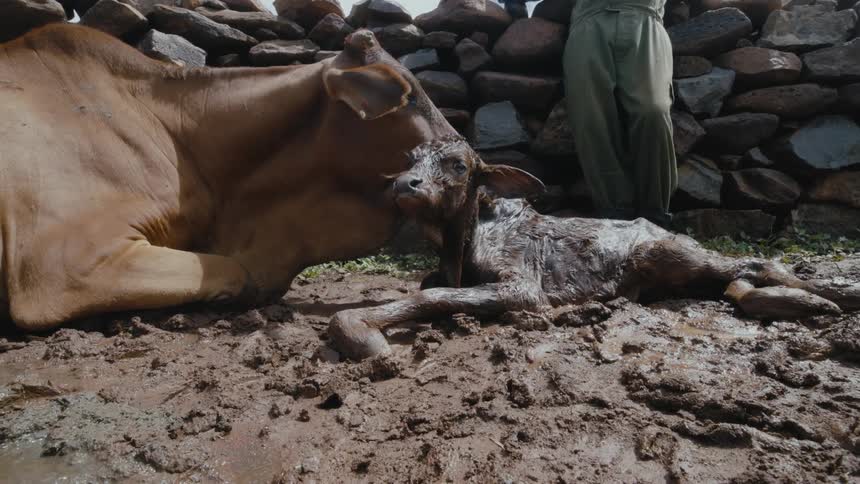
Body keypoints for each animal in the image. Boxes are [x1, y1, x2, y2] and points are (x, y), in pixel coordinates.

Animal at [327, 137, 860, 360]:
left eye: (459, 165)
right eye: (411, 159)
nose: (405, 184)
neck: (464, 241)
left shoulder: (524, 287)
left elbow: (430, 295)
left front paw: (359, 328)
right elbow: (429, 284)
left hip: (661, 251)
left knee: (752, 261)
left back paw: (823, 297)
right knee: (732, 284)